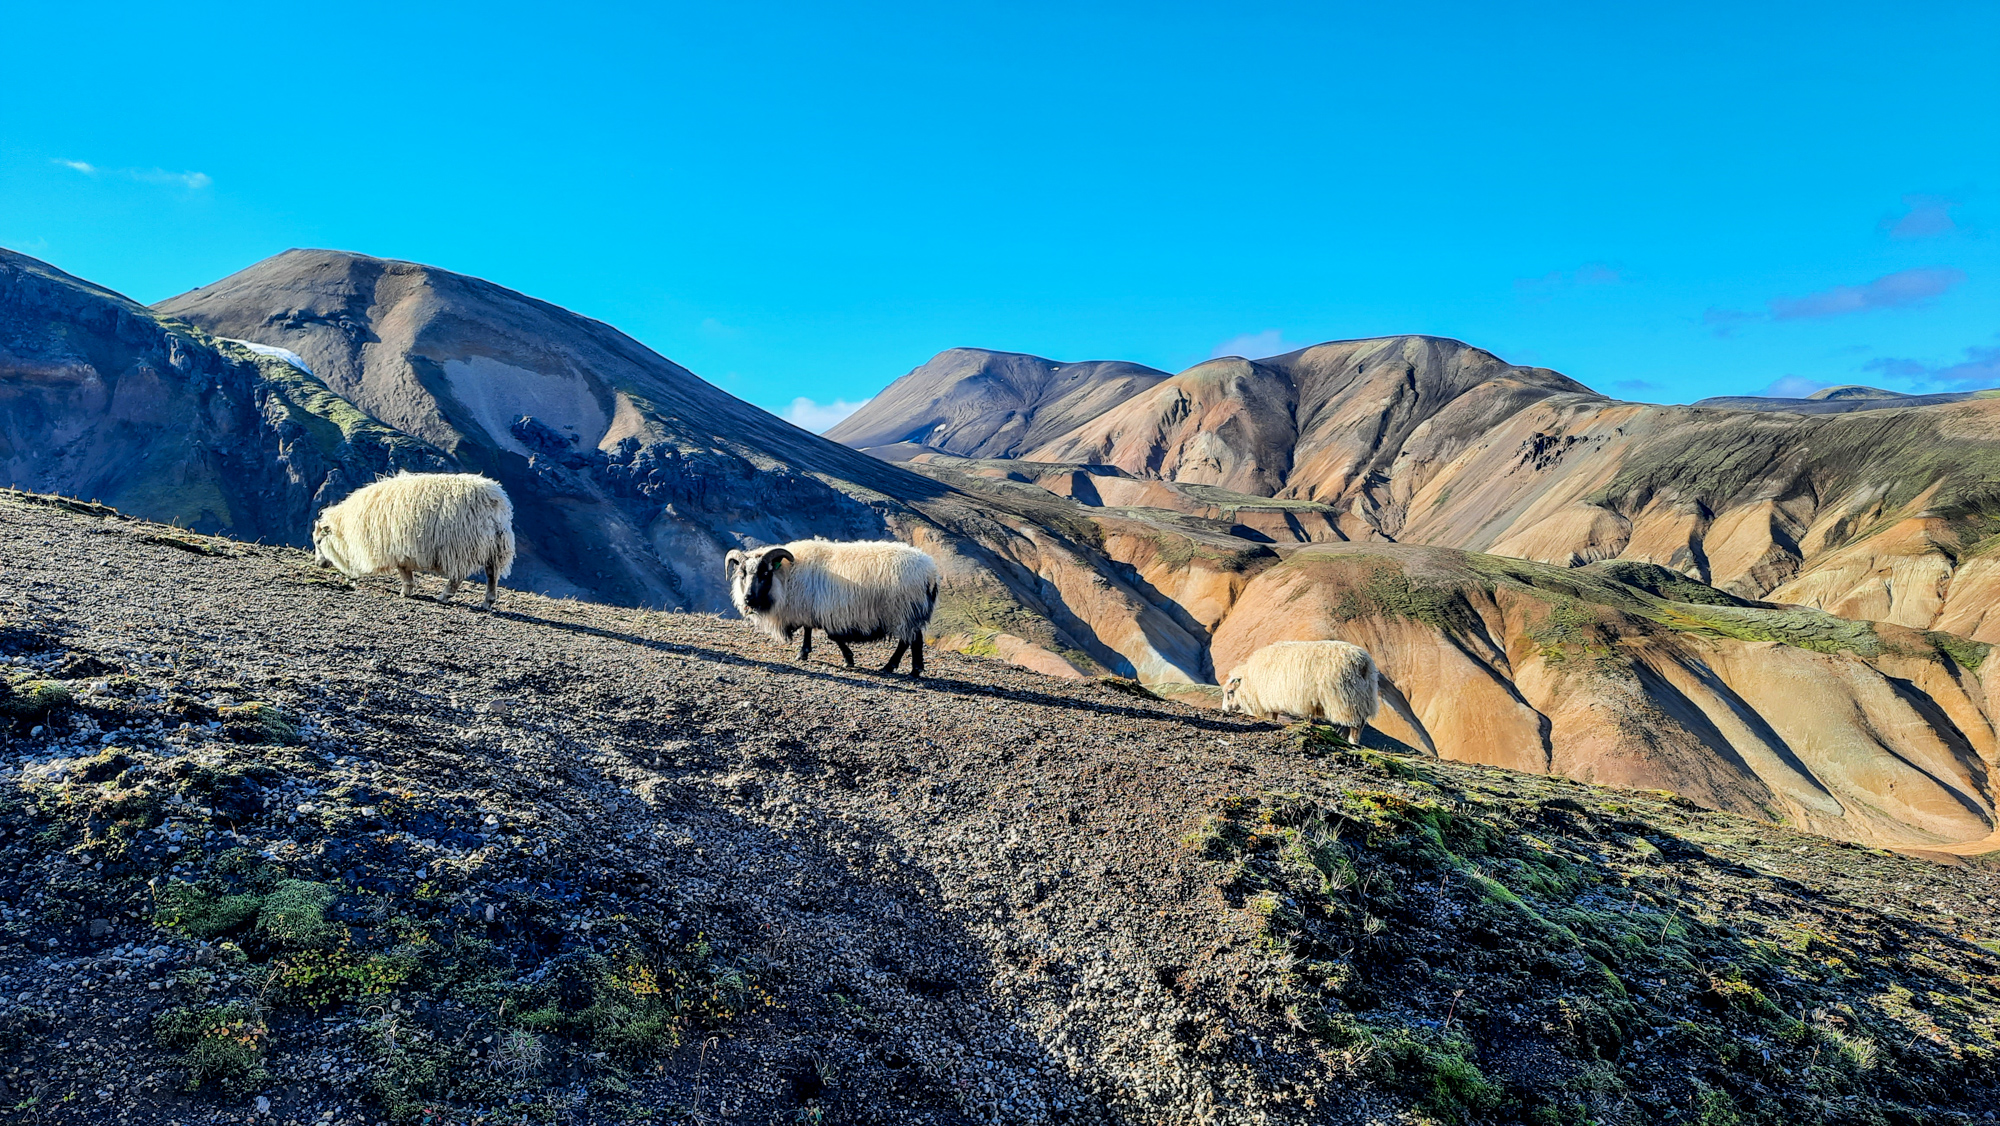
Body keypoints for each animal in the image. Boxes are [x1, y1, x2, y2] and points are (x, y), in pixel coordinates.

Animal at [312, 470, 516, 608]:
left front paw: (405, 592)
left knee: (458, 577)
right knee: (492, 574)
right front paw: (407, 591)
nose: (318, 563)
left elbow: (404, 572)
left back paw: (444, 596)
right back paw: (488, 601)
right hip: (495, 547)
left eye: (318, 541)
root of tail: (494, 500)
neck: (347, 528)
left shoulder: (397, 549)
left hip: (461, 546)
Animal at [728, 540, 944, 680]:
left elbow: (833, 636)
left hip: (903, 611)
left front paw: (847, 659)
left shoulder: (822, 610)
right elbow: (810, 630)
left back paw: (896, 668)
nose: (748, 598)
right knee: (913, 640)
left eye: (765, 573)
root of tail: (931, 572)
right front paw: (805, 652)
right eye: (742, 574)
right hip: (909, 613)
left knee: (908, 641)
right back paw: (909, 669)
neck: (786, 576)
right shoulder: (811, 608)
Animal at [1224, 640, 1384, 744]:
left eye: (1230, 692)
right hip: (1364, 698)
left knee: (1355, 725)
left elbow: (1271, 718)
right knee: (1361, 723)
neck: (1250, 679)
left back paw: (1353, 742)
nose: (1224, 709)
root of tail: (1363, 662)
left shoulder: (1268, 701)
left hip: (1347, 699)